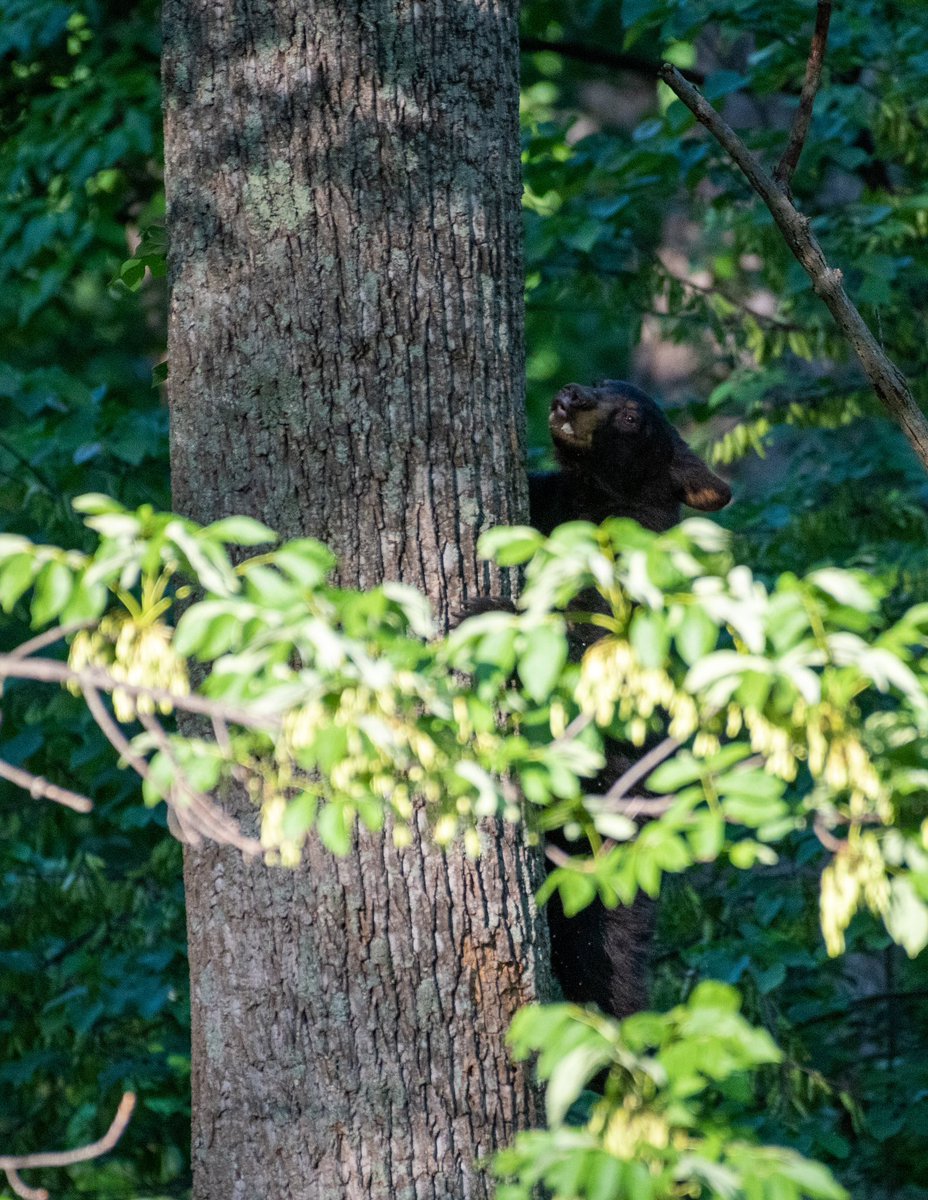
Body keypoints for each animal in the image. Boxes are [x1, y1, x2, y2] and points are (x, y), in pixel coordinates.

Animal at [529, 380, 731, 1019]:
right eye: (597, 382)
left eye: (630, 417)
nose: (570, 395)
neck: (592, 497)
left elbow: (586, 646)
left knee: (611, 963)